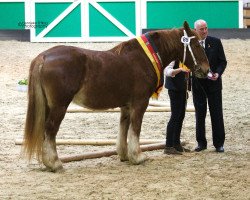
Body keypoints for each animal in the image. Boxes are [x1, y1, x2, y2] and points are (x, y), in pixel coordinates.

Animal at [23, 21, 209, 172]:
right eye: (196, 45)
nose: (206, 69)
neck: (144, 58)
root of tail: (44, 56)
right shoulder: (140, 103)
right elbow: (135, 128)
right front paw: (138, 156)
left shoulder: (126, 106)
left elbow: (123, 128)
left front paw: (125, 155)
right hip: (60, 106)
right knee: (50, 130)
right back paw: (54, 163)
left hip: (49, 106)